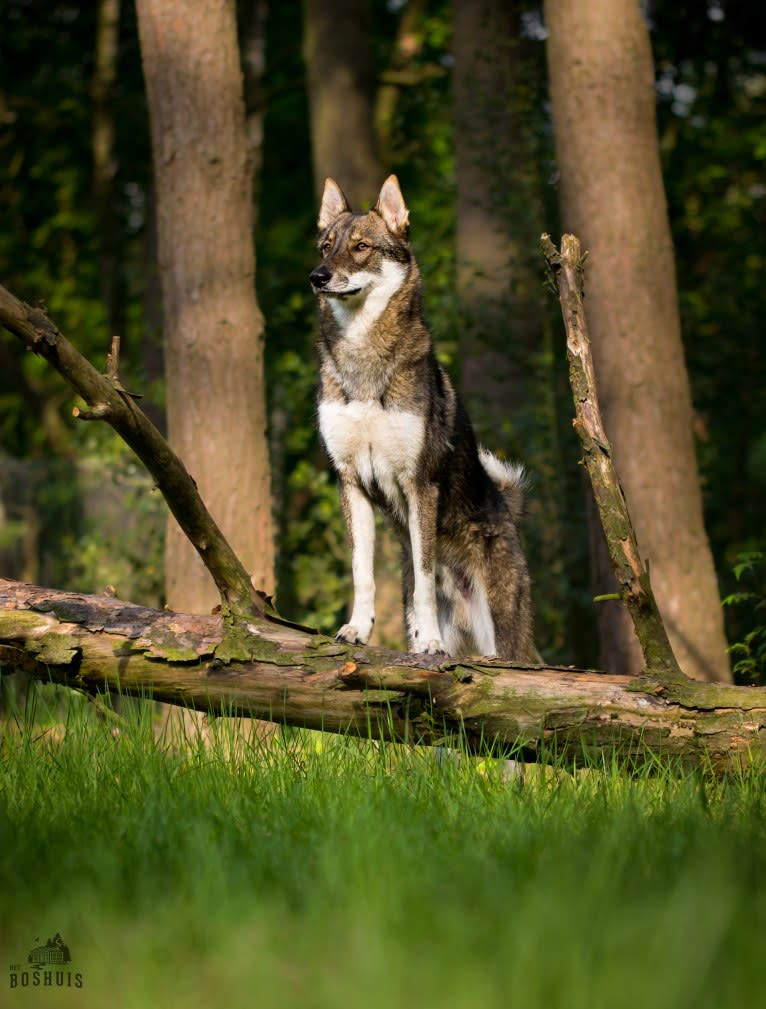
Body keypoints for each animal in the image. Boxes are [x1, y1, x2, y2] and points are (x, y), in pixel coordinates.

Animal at [308, 173, 536, 661]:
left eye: (361, 247)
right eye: (325, 246)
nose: (317, 277)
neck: (363, 357)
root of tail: (509, 511)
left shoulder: (420, 484)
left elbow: (426, 578)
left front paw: (430, 641)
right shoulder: (350, 481)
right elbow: (362, 572)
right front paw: (357, 629)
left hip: (504, 640)